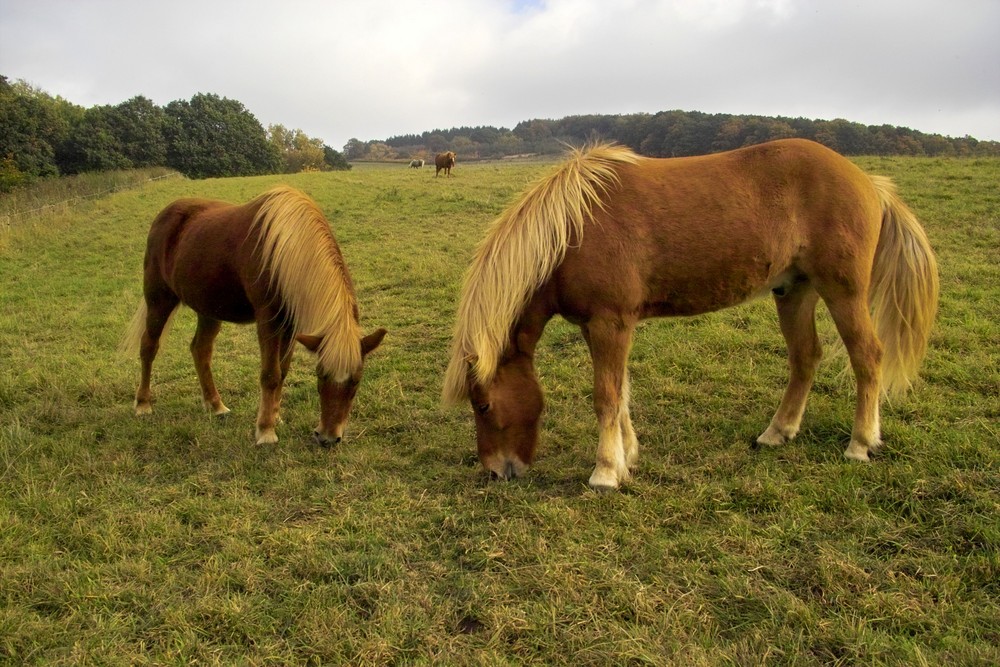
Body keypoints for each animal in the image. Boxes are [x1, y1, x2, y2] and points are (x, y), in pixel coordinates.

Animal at [124, 185, 386, 446]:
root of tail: (165, 214)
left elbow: (283, 371)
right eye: (321, 375)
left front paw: (275, 416)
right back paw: (143, 404)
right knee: (149, 346)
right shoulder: (268, 321)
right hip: (159, 300)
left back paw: (215, 405)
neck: (285, 250)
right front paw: (266, 430)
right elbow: (270, 374)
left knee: (200, 350)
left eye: (357, 380)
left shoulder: (291, 326)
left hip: (208, 309)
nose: (328, 438)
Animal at [444, 138, 936, 490]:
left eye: (483, 404)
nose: (496, 471)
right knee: (805, 358)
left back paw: (861, 443)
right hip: (794, 291)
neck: (572, 229)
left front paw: (605, 472)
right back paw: (777, 432)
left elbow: (606, 396)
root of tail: (868, 181)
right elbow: (621, 393)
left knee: (867, 356)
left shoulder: (610, 323)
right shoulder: (600, 326)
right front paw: (627, 458)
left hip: (843, 291)